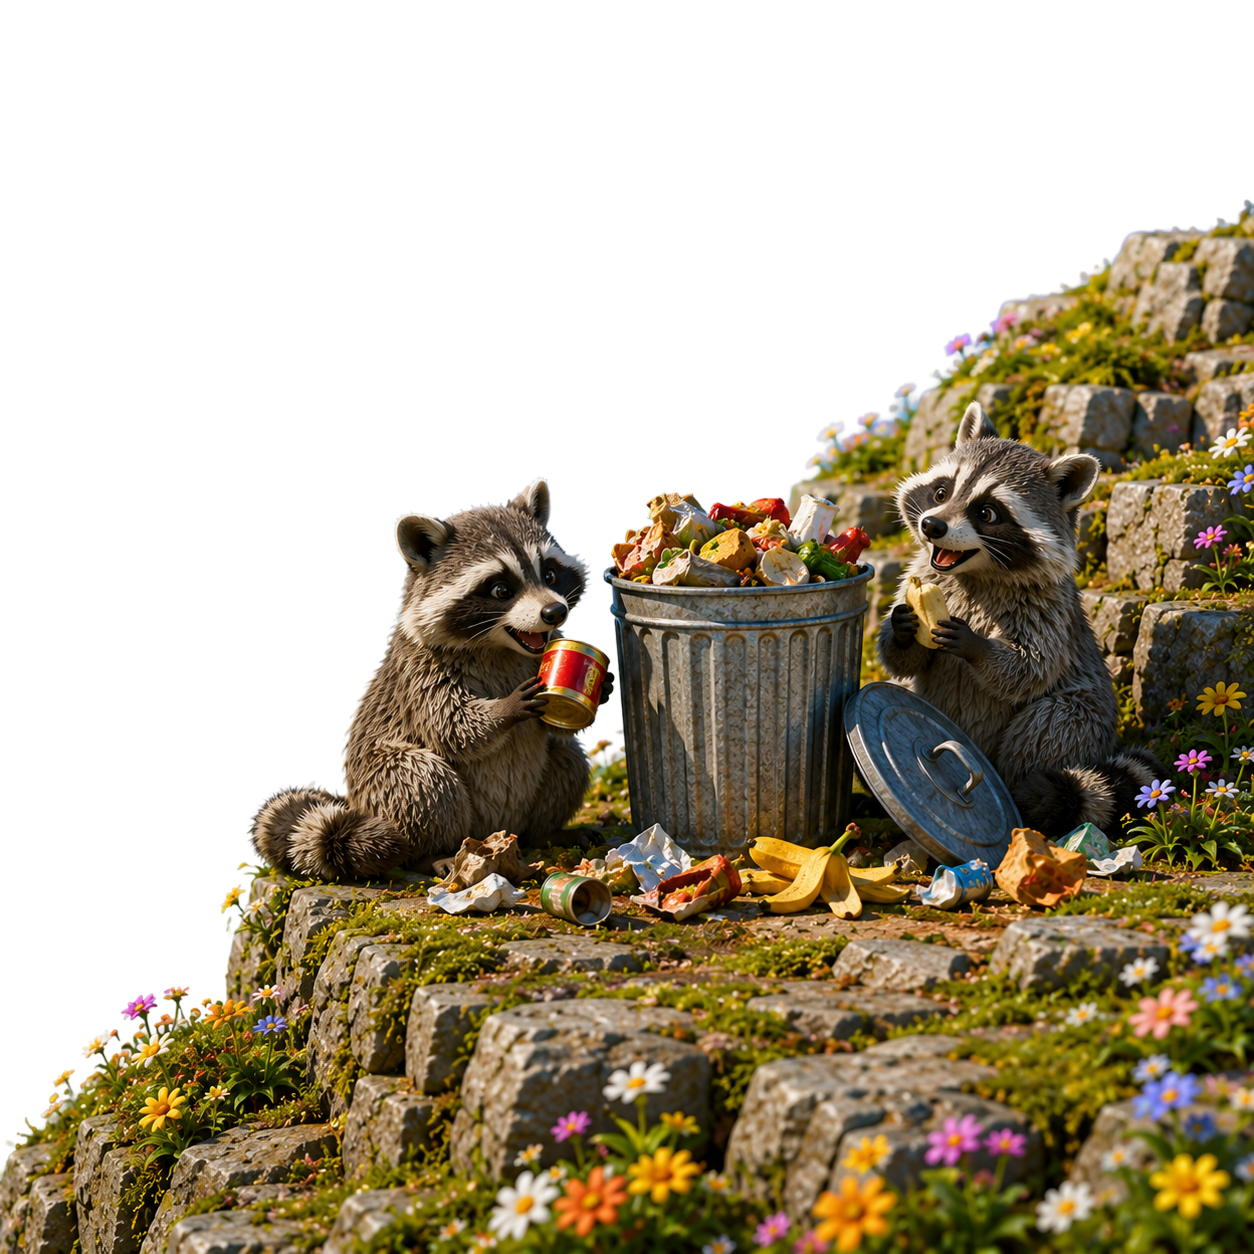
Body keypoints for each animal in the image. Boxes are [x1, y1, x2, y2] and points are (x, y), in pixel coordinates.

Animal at [246, 476, 611, 881]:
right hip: (382, 788)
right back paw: (431, 852)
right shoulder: (419, 672)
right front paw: (506, 708)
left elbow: (559, 729)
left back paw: (547, 832)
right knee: (421, 779)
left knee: (567, 755)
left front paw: (601, 687)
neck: (498, 646)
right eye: (501, 590)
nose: (554, 611)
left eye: (549, 574)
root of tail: (498, 830)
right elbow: (450, 725)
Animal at [877, 402, 1166, 839]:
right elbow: (904, 662)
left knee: (1046, 726)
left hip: (1085, 720)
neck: (975, 574)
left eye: (987, 513)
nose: (932, 525)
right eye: (941, 492)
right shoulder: (926, 573)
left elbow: (1031, 668)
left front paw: (976, 646)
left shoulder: (1047, 608)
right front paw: (902, 630)